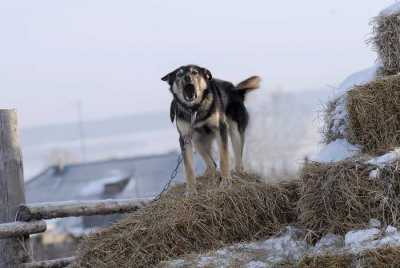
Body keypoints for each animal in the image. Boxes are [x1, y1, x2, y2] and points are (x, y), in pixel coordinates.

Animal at [161, 65, 260, 195]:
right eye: (179, 74)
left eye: (194, 72)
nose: (187, 77)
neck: (195, 109)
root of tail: (236, 90)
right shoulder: (185, 137)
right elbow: (189, 168)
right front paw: (191, 190)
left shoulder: (221, 129)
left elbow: (224, 158)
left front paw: (226, 181)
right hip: (197, 140)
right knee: (211, 163)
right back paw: (209, 175)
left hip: (235, 131)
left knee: (238, 157)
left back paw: (239, 172)